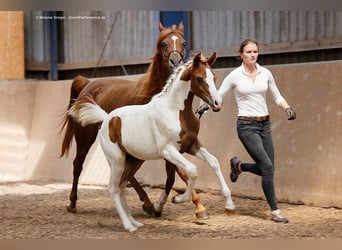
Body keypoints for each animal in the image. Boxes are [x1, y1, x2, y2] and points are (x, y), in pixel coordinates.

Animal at [60, 22, 211, 217]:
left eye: (183, 43)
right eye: (163, 43)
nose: (175, 62)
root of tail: (88, 84)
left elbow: (176, 172)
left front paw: (195, 204)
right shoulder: (165, 145)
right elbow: (181, 172)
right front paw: (197, 205)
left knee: (125, 171)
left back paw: (146, 202)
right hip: (85, 137)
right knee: (78, 165)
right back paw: (72, 203)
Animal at [68, 53, 228, 232]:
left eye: (214, 77)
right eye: (200, 78)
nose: (217, 103)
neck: (174, 111)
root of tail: (106, 118)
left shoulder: (191, 146)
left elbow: (213, 161)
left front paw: (229, 205)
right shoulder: (168, 151)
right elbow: (191, 171)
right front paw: (178, 199)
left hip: (133, 161)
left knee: (122, 185)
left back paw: (134, 221)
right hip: (116, 160)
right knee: (113, 187)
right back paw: (127, 225)